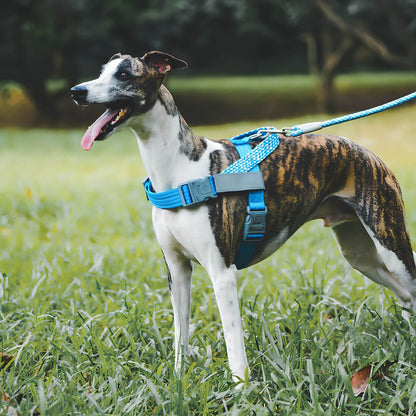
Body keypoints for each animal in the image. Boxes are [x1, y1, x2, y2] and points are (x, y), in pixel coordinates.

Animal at [70, 51, 416, 384]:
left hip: (391, 244)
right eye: (101, 72)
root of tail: (370, 154)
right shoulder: (177, 271)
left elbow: (233, 340)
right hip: (361, 256)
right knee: (406, 297)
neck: (180, 171)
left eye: (124, 74)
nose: (76, 91)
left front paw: (240, 388)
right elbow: (181, 334)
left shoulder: (223, 274)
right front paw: (178, 379)